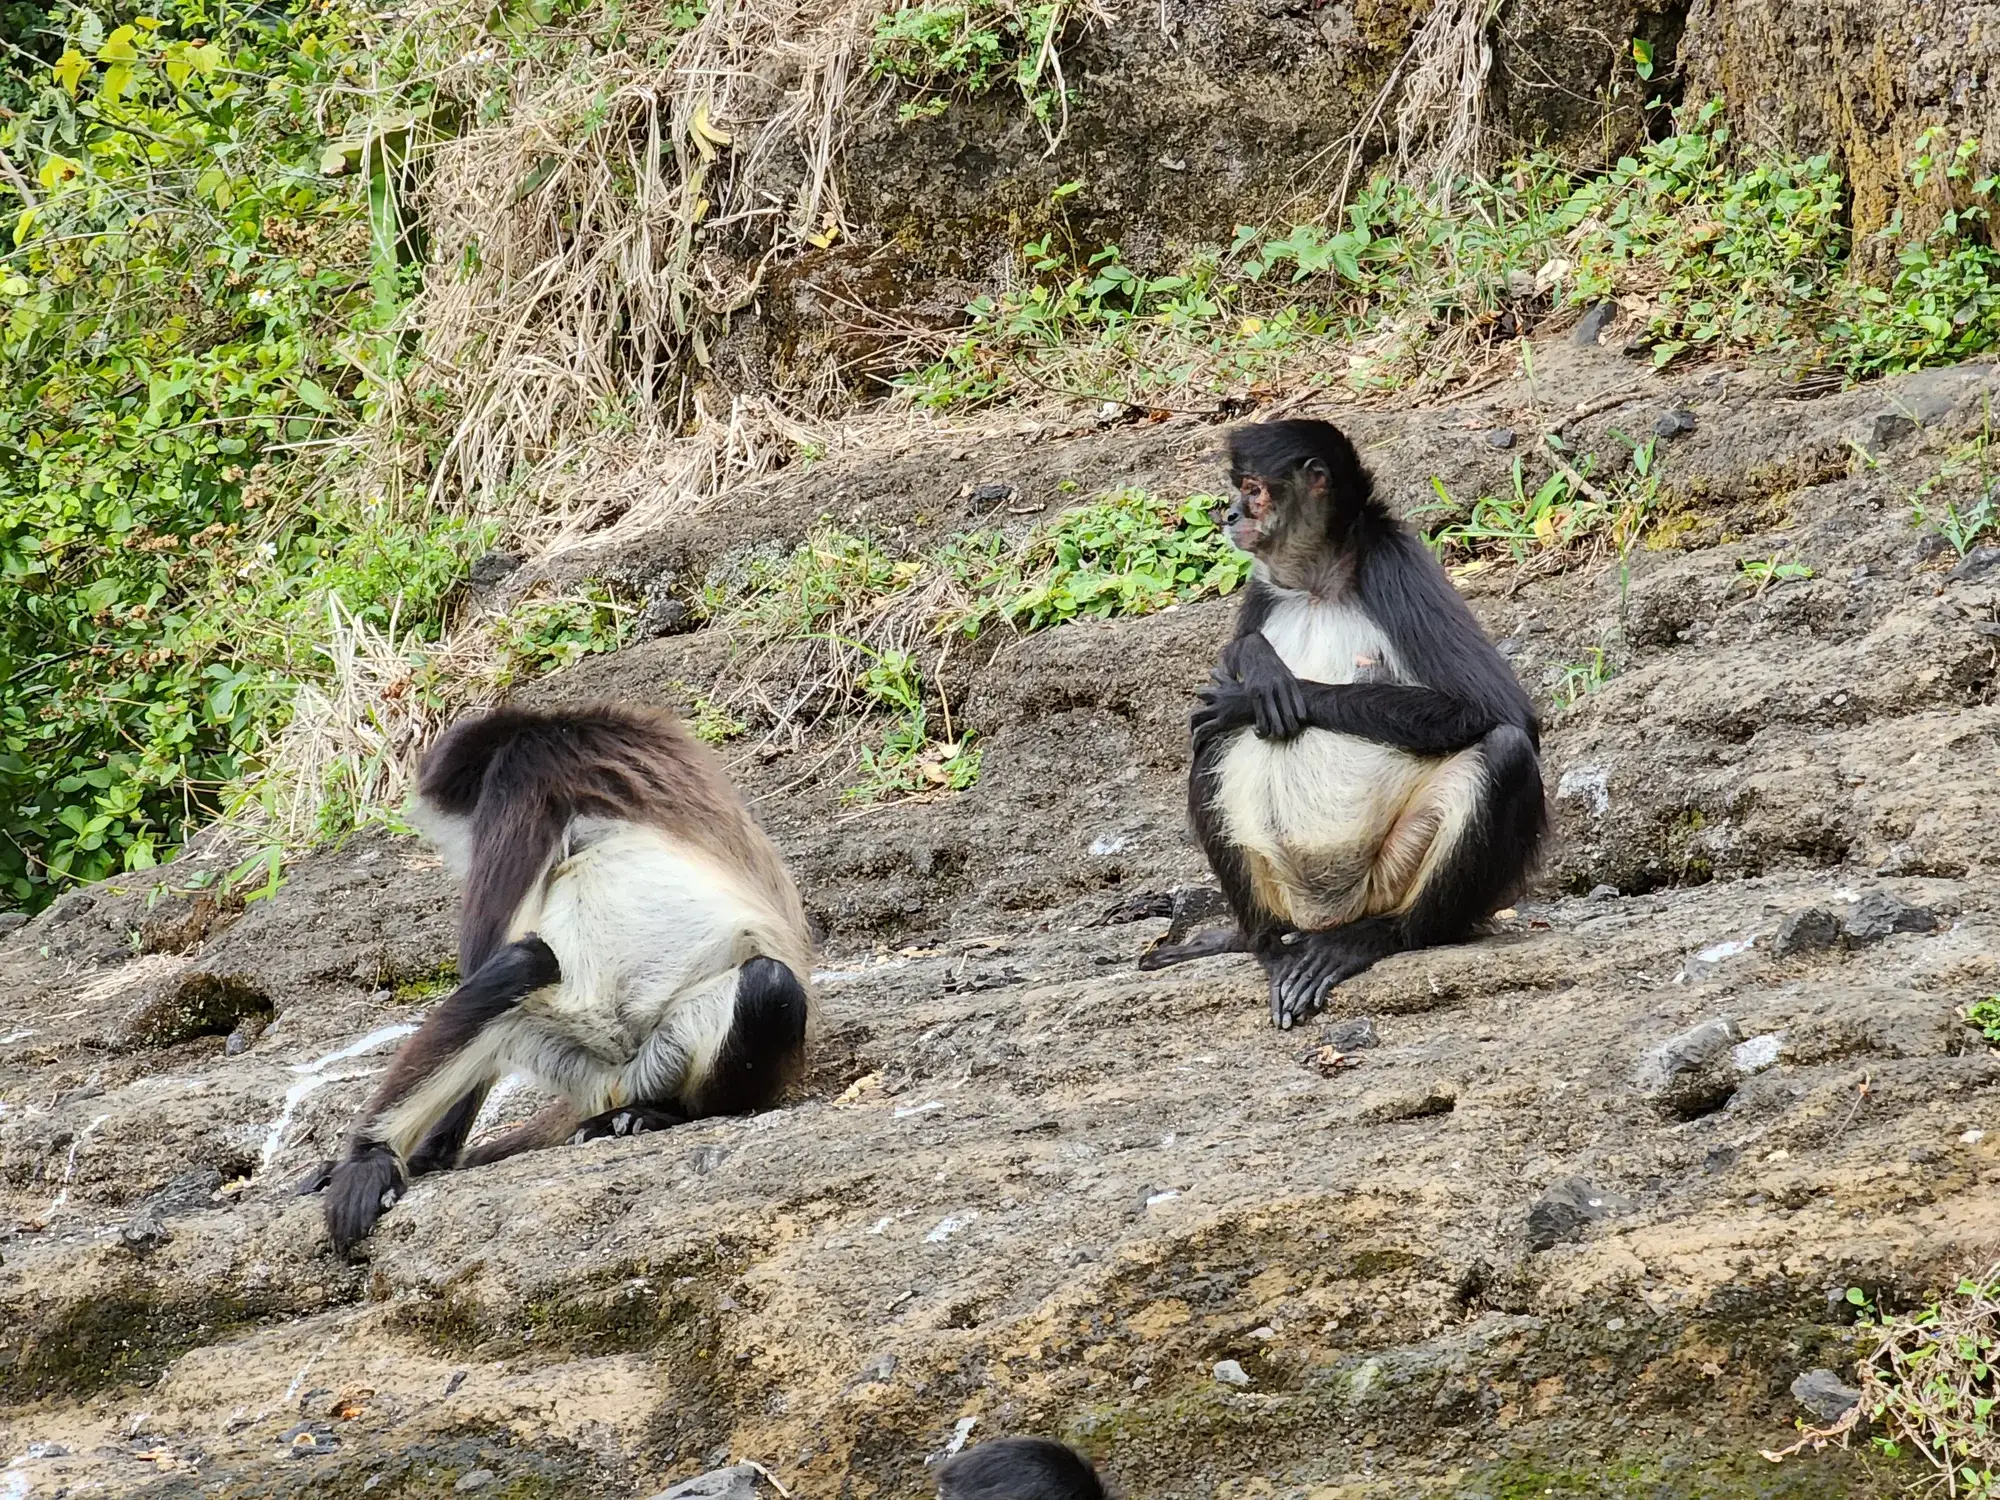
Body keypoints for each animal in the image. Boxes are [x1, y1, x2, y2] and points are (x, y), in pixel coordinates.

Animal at [303, 703, 815, 1253]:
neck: (551, 726)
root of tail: (622, 1082)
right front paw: (421, 1158)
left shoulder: (519, 774)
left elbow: (489, 957)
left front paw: (385, 1157)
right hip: (585, 1065)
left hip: (656, 1047)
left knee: (761, 981)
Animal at [1140, 418, 1547, 1029]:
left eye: (1253, 490)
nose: (1229, 515)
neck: (1316, 584)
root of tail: (1321, 914)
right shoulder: (1264, 588)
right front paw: (1254, 662)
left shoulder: (1393, 560)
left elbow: (1500, 710)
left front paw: (1256, 689)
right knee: (1210, 742)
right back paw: (1261, 943)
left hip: (1386, 880)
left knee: (1506, 747)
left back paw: (1375, 938)